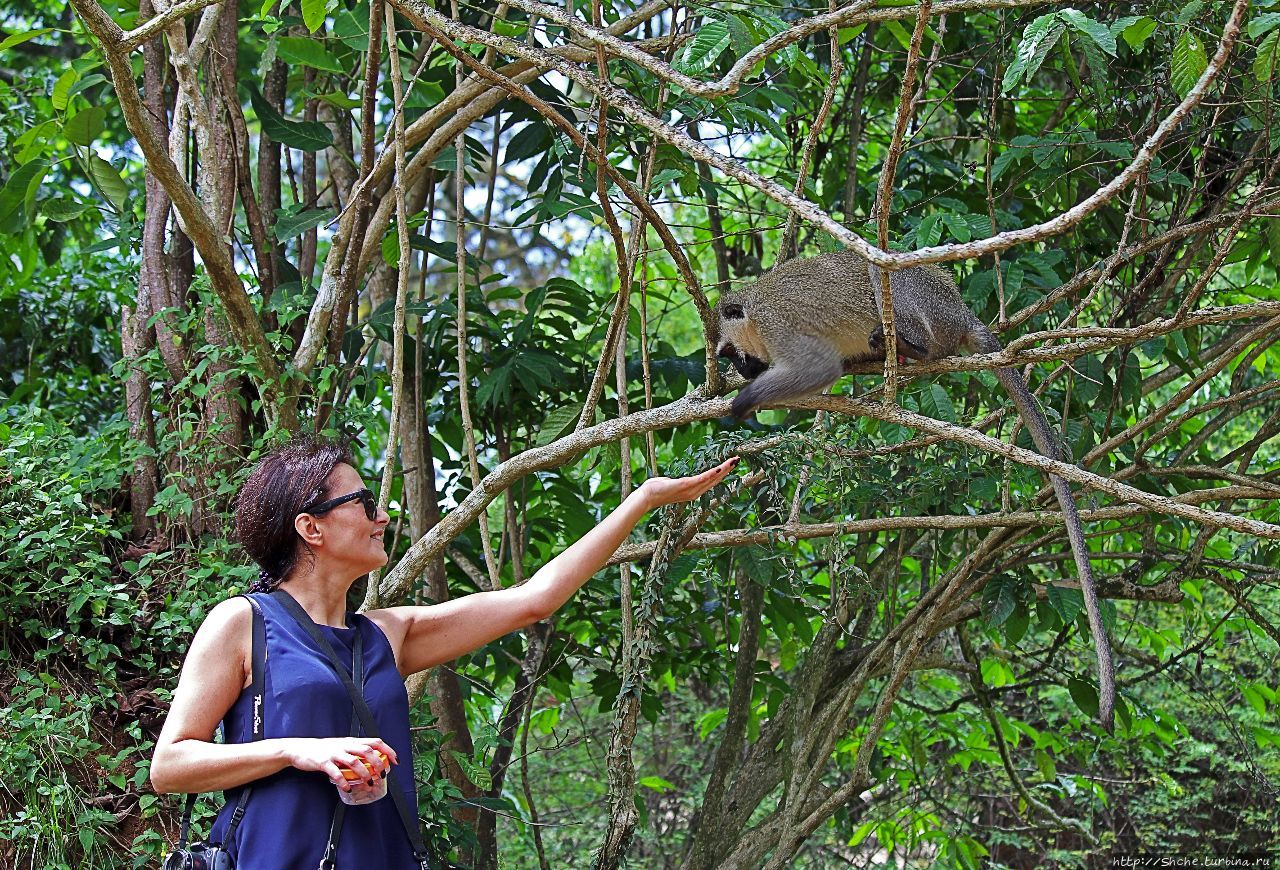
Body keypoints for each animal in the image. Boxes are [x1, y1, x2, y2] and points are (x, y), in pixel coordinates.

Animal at [721, 248, 1121, 731]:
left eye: (729, 352)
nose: (740, 369)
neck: (755, 312)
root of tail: (960, 313)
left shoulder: (776, 322)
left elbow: (817, 367)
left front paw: (743, 404)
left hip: (931, 309)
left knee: (885, 276)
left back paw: (915, 346)